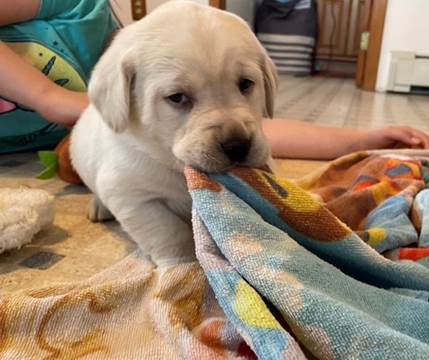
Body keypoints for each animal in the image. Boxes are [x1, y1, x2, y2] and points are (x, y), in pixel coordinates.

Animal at [70, 0, 276, 264]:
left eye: (246, 84)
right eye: (177, 97)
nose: (237, 146)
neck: (174, 164)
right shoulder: (130, 195)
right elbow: (167, 231)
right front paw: (183, 264)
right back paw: (98, 206)